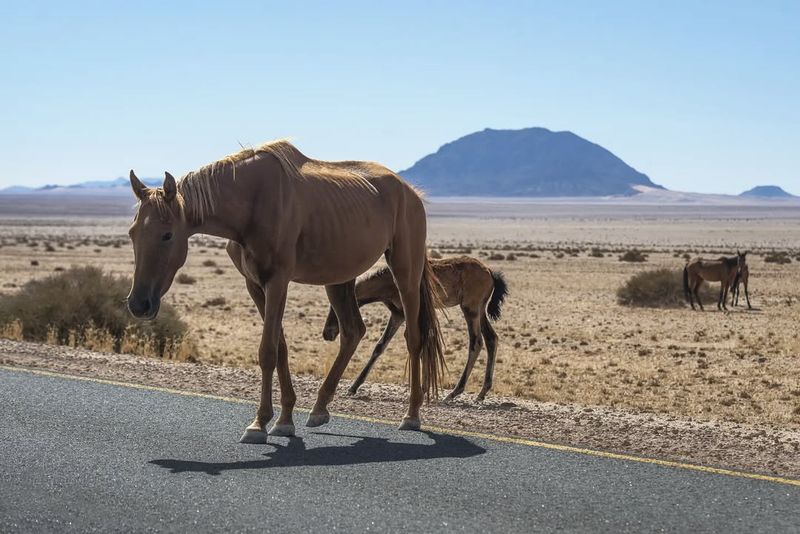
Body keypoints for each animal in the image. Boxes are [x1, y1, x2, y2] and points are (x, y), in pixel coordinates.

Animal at [128, 139, 446, 444]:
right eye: (132, 233)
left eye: (167, 234)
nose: (138, 304)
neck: (252, 204)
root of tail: (411, 192)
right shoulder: (255, 286)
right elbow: (279, 347)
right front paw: (283, 420)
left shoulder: (278, 281)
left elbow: (268, 351)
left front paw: (259, 424)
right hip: (339, 279)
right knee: (353, 331)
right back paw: (319, 409)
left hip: (405, 273)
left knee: (413, 338)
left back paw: (411, 415)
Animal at [322, 258, 510, 404]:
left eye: (335, 307)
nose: (327, 333)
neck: (390, 280)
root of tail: (489, 272)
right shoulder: (398, 315)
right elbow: (380, 346)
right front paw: (353, 387)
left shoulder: (408, 314)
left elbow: (415, 343)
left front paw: (423, 389)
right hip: (480, 311)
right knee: (491, 339)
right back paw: (481, 393)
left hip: (470, 310)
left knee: (476, 342)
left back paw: (454, 393)